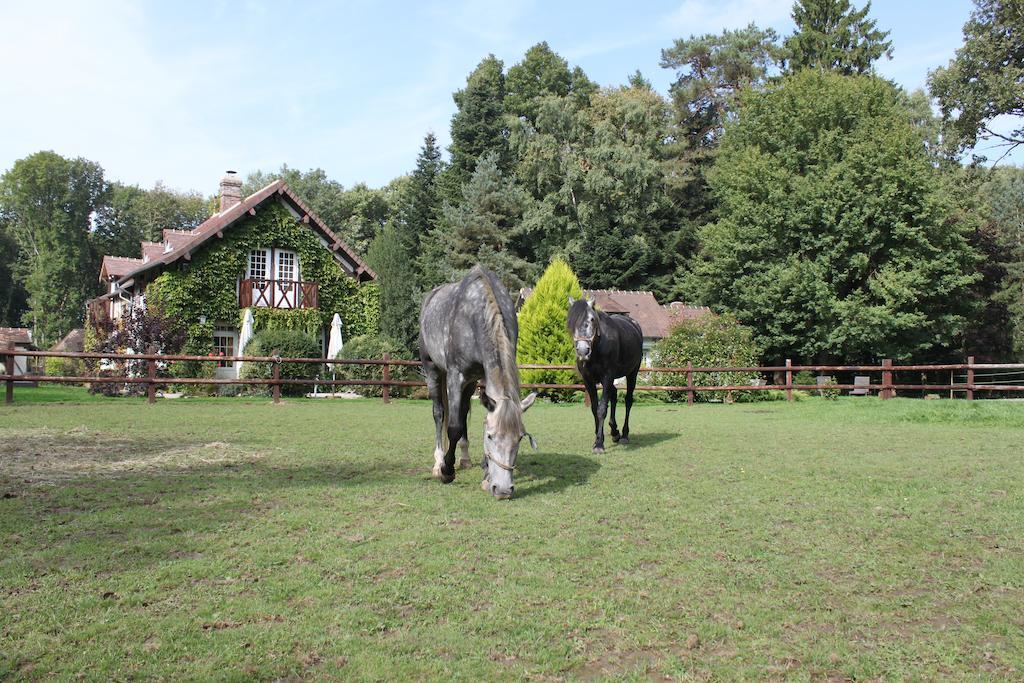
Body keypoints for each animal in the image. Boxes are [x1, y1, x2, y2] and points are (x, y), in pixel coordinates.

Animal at [419, 264, 540, 499]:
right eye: (491, 437)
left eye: (520, 438)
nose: (503, 490)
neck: (474, 315)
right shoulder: (456, 376)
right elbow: (454, 426)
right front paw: (447, 471)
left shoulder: (481, 376)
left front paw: (486, 476)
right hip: (433, 370)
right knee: (439, 413)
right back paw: (438, 462)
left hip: (471, 382)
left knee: (464, 410)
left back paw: (464, 458)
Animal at [569, 296, 638, 454]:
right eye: (570, 320)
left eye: (592, 319)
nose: (583, 351)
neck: (597, 347)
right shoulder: (588, 380)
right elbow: (595, 408)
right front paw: (597, 437)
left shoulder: (607, 377)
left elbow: (601, 409)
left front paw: (599, 444)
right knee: (614, 394)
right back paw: (614, 432)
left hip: (633, 373)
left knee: (628, 401)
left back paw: (624, 434)